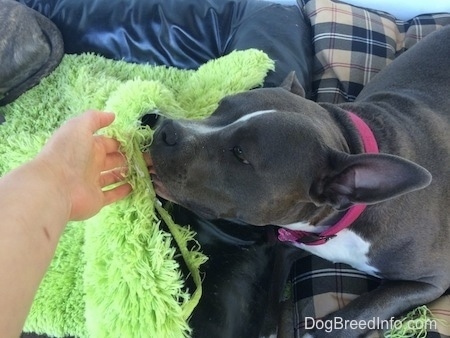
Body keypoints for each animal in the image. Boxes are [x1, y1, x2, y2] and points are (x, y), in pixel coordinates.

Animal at [146, 25, 450, 336]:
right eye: (219, 107)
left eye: (240, 154)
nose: (166, 128)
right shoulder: (286, 244)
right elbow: (270, 295)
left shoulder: (431, 281)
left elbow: (370, 306)